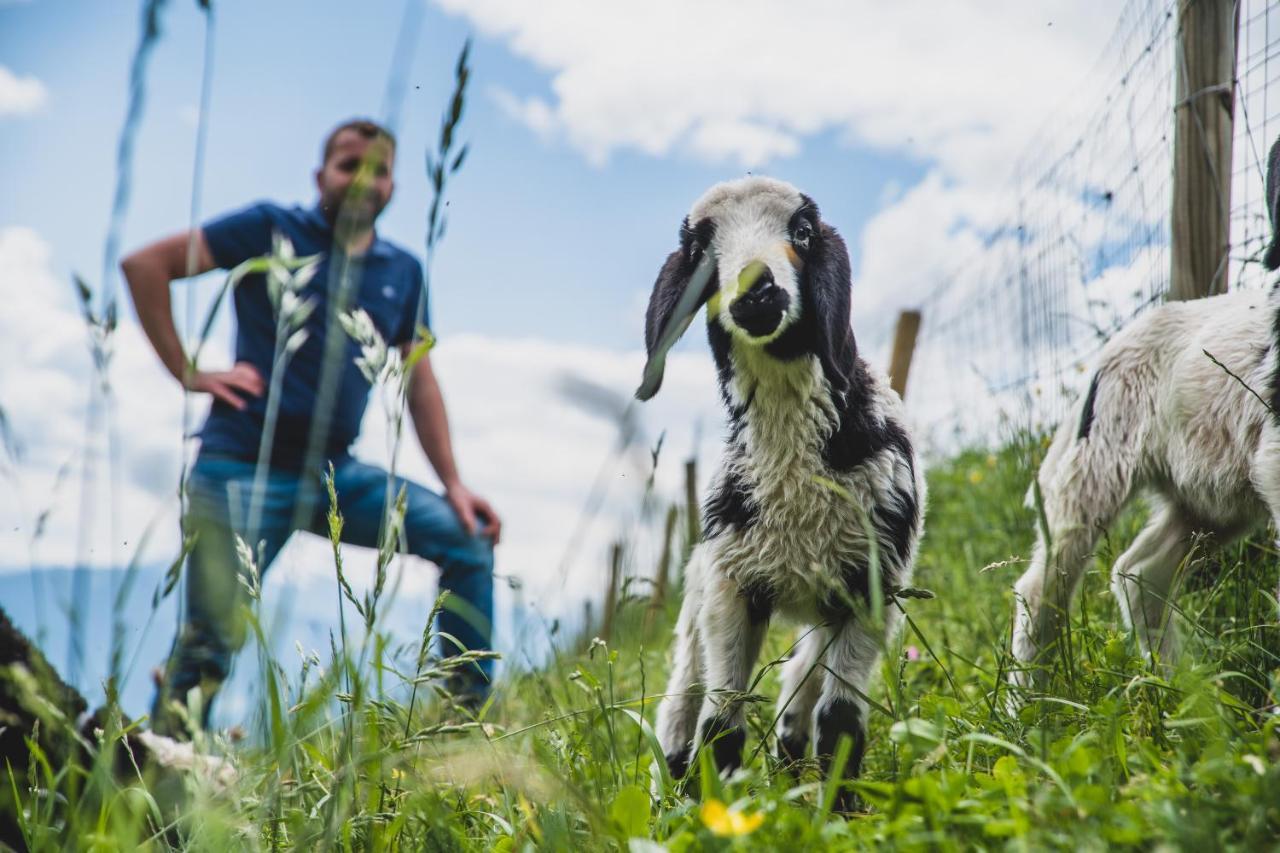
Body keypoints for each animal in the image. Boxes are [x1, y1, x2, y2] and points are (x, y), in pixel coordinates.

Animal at [637, 174, 921, 804]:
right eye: (699, 250)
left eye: (804, 232)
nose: (755, 290)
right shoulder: (730, 586)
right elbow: (721, 722)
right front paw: (719, 810)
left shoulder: (871, 587)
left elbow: (840, 721)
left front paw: (841, 810)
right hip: (696, 600)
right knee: (683, 703)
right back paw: (673, 796)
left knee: (800, 686)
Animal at [1008, 137, 1280, 686]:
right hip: (1091, 472)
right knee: (1042, 592)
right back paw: (1029, 704)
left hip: (1212, 494)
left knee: (1141, 572)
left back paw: (1177, 694)